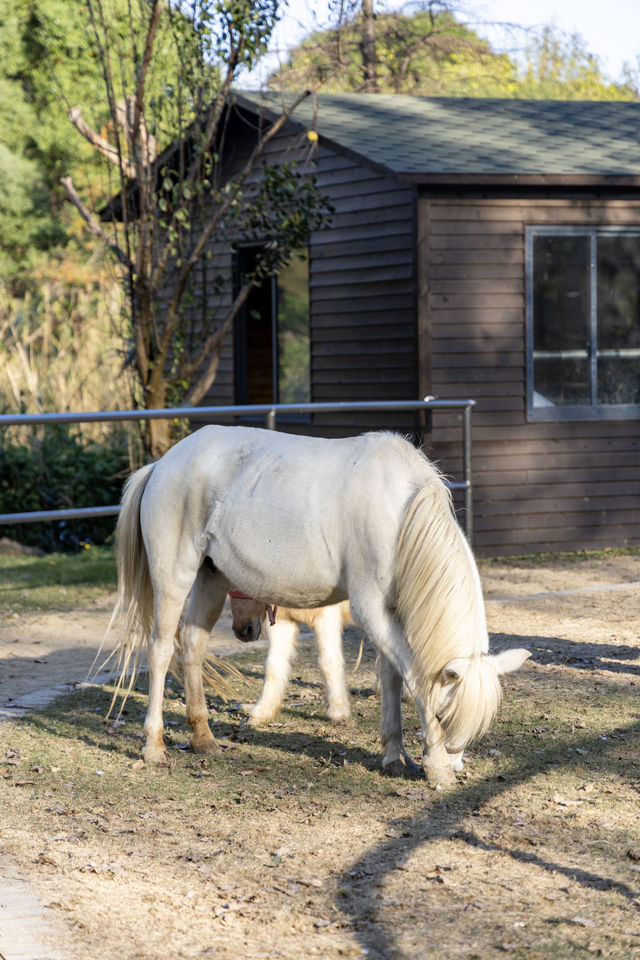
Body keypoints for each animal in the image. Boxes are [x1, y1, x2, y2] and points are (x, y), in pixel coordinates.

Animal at [229, 596, 352, 724]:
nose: (242, 632)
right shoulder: (282, 620)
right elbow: (274, 666)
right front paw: (262, 711)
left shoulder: (326, 614)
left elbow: (327, 662)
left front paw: (338, 711)